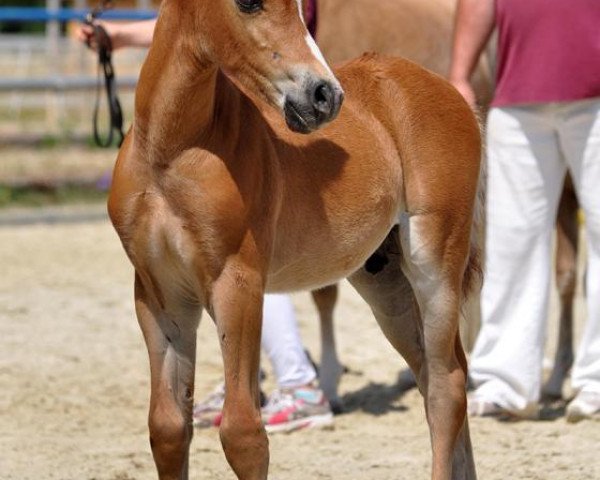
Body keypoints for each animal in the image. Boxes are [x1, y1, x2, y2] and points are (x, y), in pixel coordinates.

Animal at [109, 0, 482, 480]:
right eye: (248, 3)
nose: (326, 96)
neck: (170, 154)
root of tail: (448, 90)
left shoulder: (237, 284)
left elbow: (244, 434)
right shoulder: (159, 295)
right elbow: (169, 428)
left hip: (434, 261)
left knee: (445, 386)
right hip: (386, 282)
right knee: (438, 372)